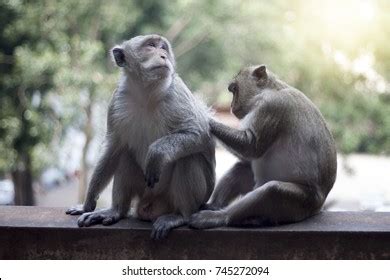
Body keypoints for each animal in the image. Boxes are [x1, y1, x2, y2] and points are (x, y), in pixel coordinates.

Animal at [65, 34, 215, 240]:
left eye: (163, 48)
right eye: (151, 46)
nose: (163, 56)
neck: (147, 92)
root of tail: (151, 206)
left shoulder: (177, 93)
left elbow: (200, 133)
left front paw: (157, 153)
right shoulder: (117, 101)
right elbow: (113, 148)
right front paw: (87, 204)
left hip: (178, 197)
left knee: (188, 157)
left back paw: (181, 216)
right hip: (143, 192)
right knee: (124, 156)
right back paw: (116, 210)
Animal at [189, 65, 336, 230]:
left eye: (234, 90)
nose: (231, 106)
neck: (272, 89)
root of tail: (319, 205)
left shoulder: (271, 107)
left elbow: (251, 146)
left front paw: (204, 117)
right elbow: (248, 156)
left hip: (302, 203)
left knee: (272, 190)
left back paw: (220, 217)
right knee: (242, 168)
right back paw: (217, 206)